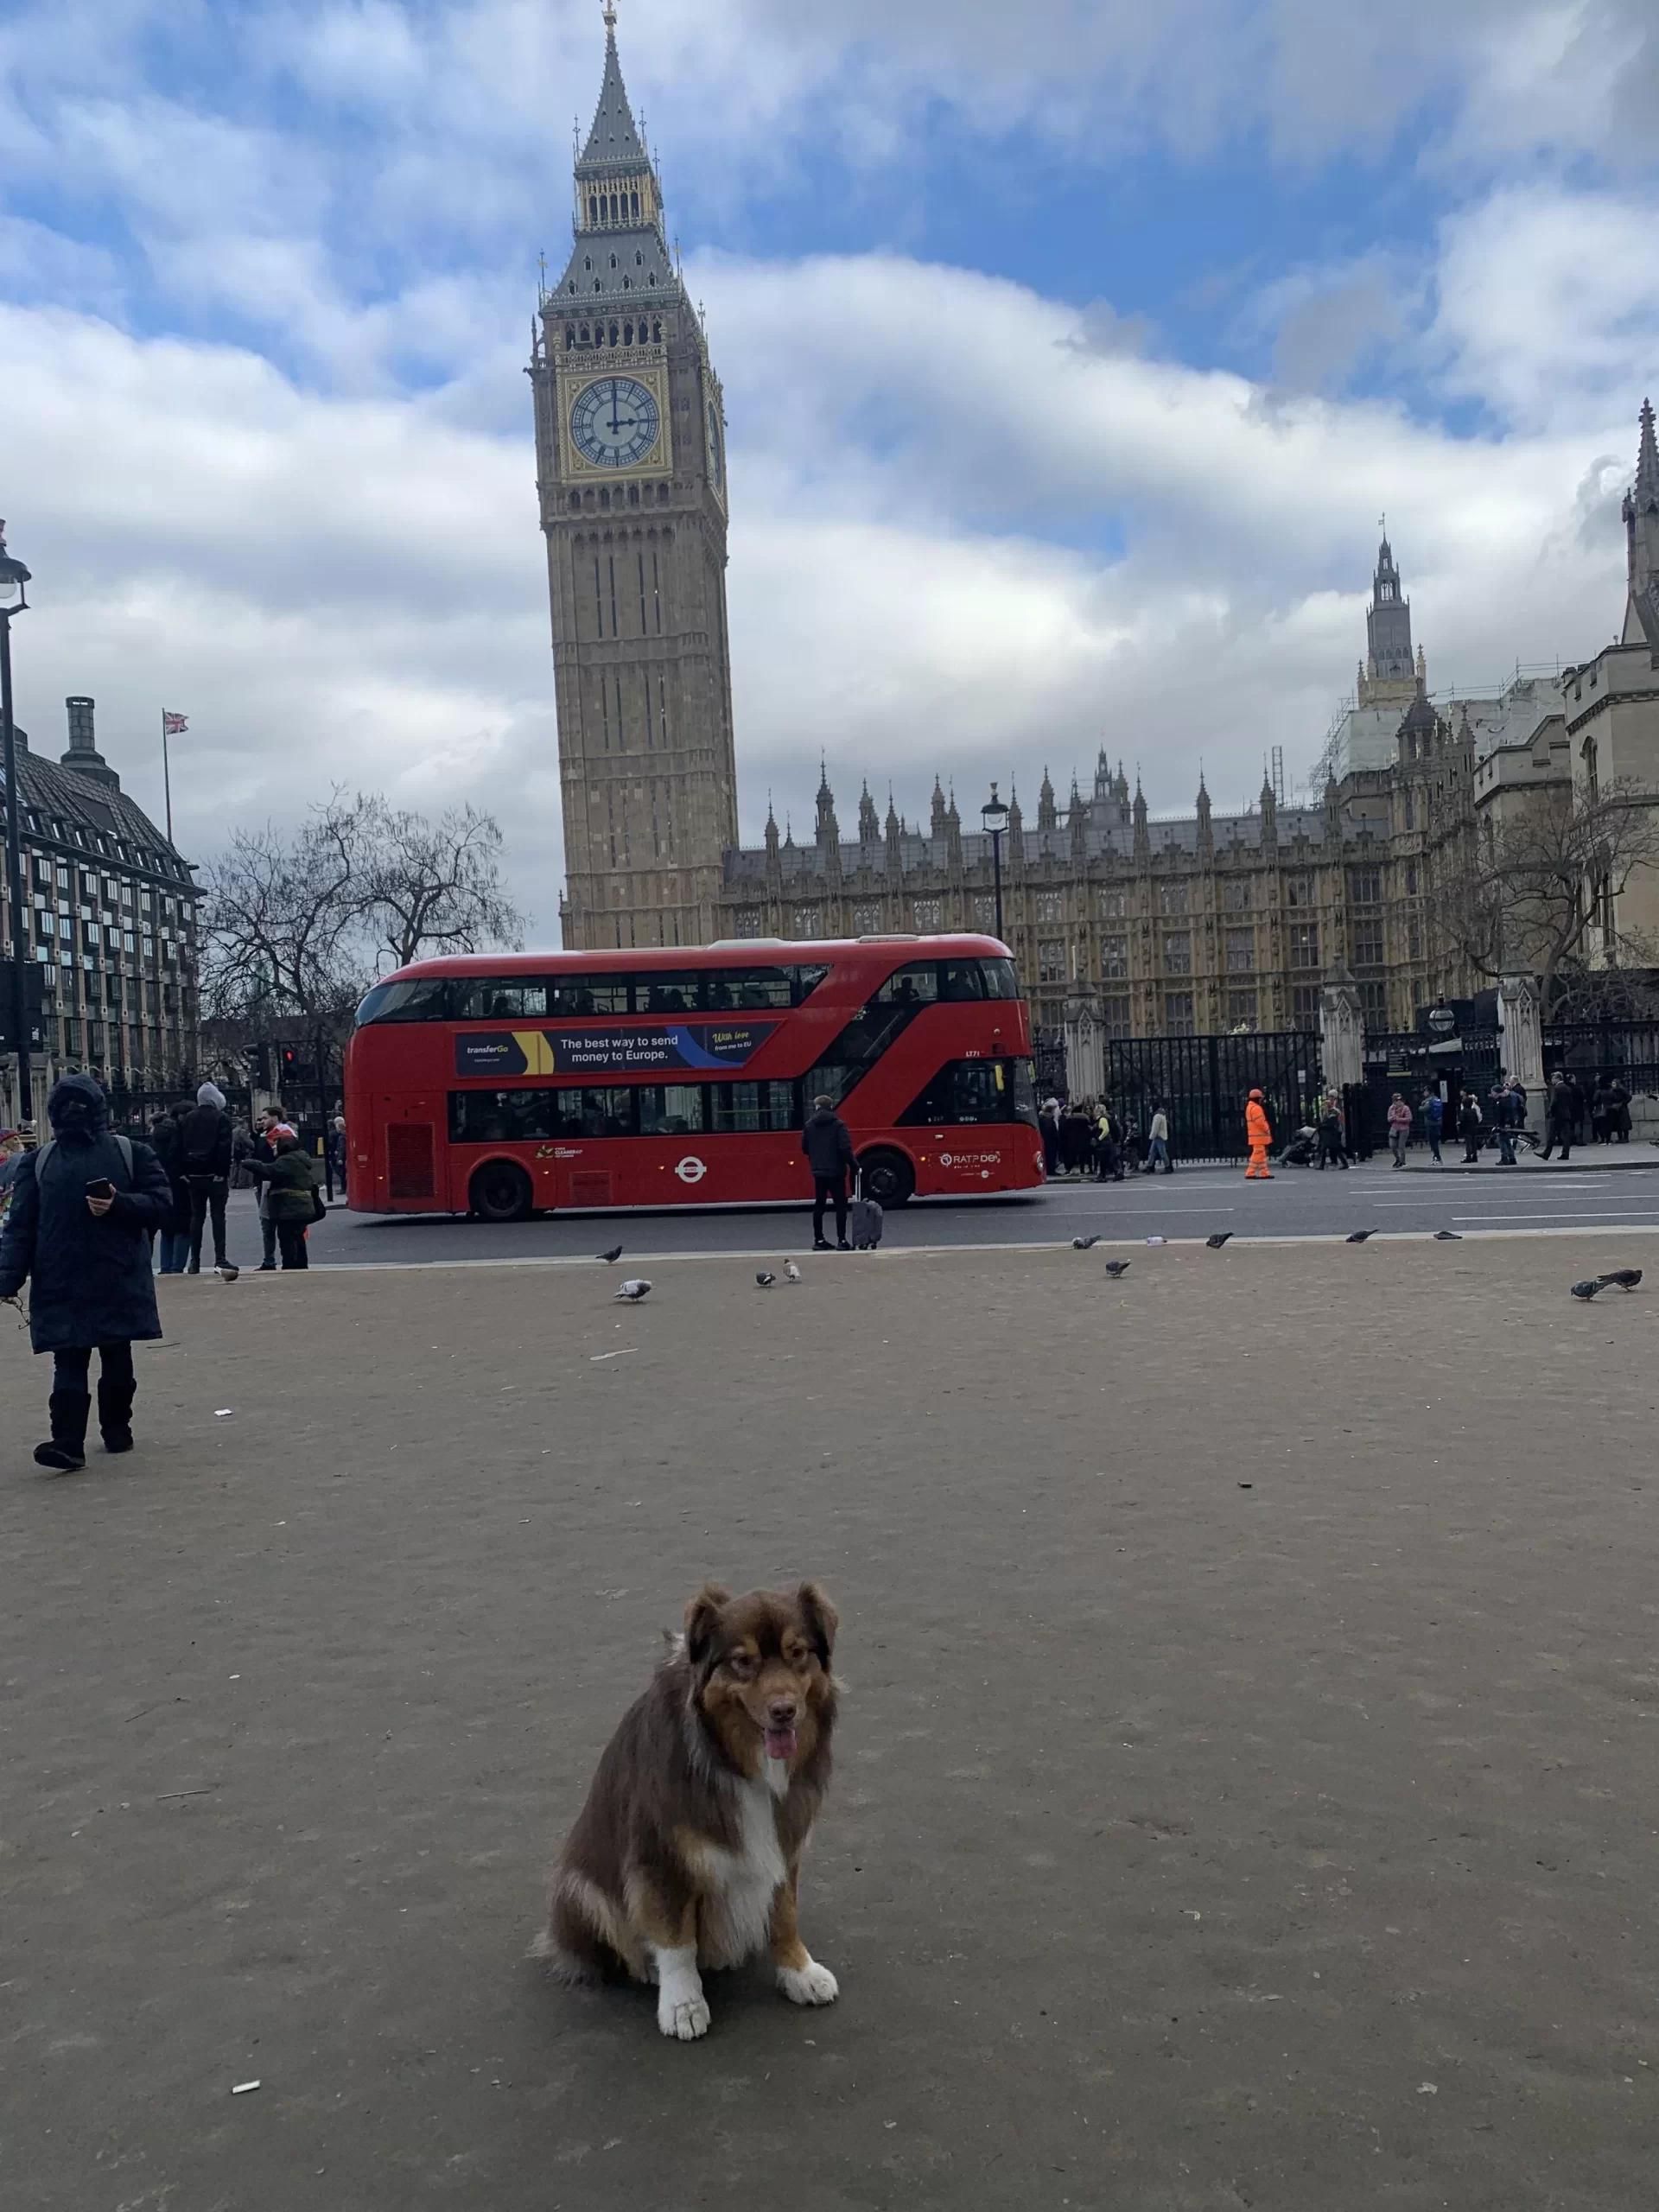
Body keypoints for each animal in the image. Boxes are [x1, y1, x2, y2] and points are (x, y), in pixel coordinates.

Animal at [532, 1592, 844, 2035]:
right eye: (743, 1661)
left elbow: (785, 1914)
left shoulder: (785, 1843)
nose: (784, 1711)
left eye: (798, 1653)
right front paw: (683, 2004)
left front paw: (799, 1973)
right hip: (581, 1887)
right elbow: (676, 1938)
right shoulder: (661, 1857)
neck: (734, 1759)